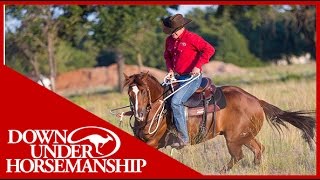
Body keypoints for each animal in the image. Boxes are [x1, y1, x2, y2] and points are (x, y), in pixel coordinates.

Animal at [122, 71, 316, 172]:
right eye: (130, 93)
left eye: (144, 91)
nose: (139, 114)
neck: (159, 108)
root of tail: (256, 100)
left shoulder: (153, 142)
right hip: (244, 136)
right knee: (258, 150)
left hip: (233, 139)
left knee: (238, 156)